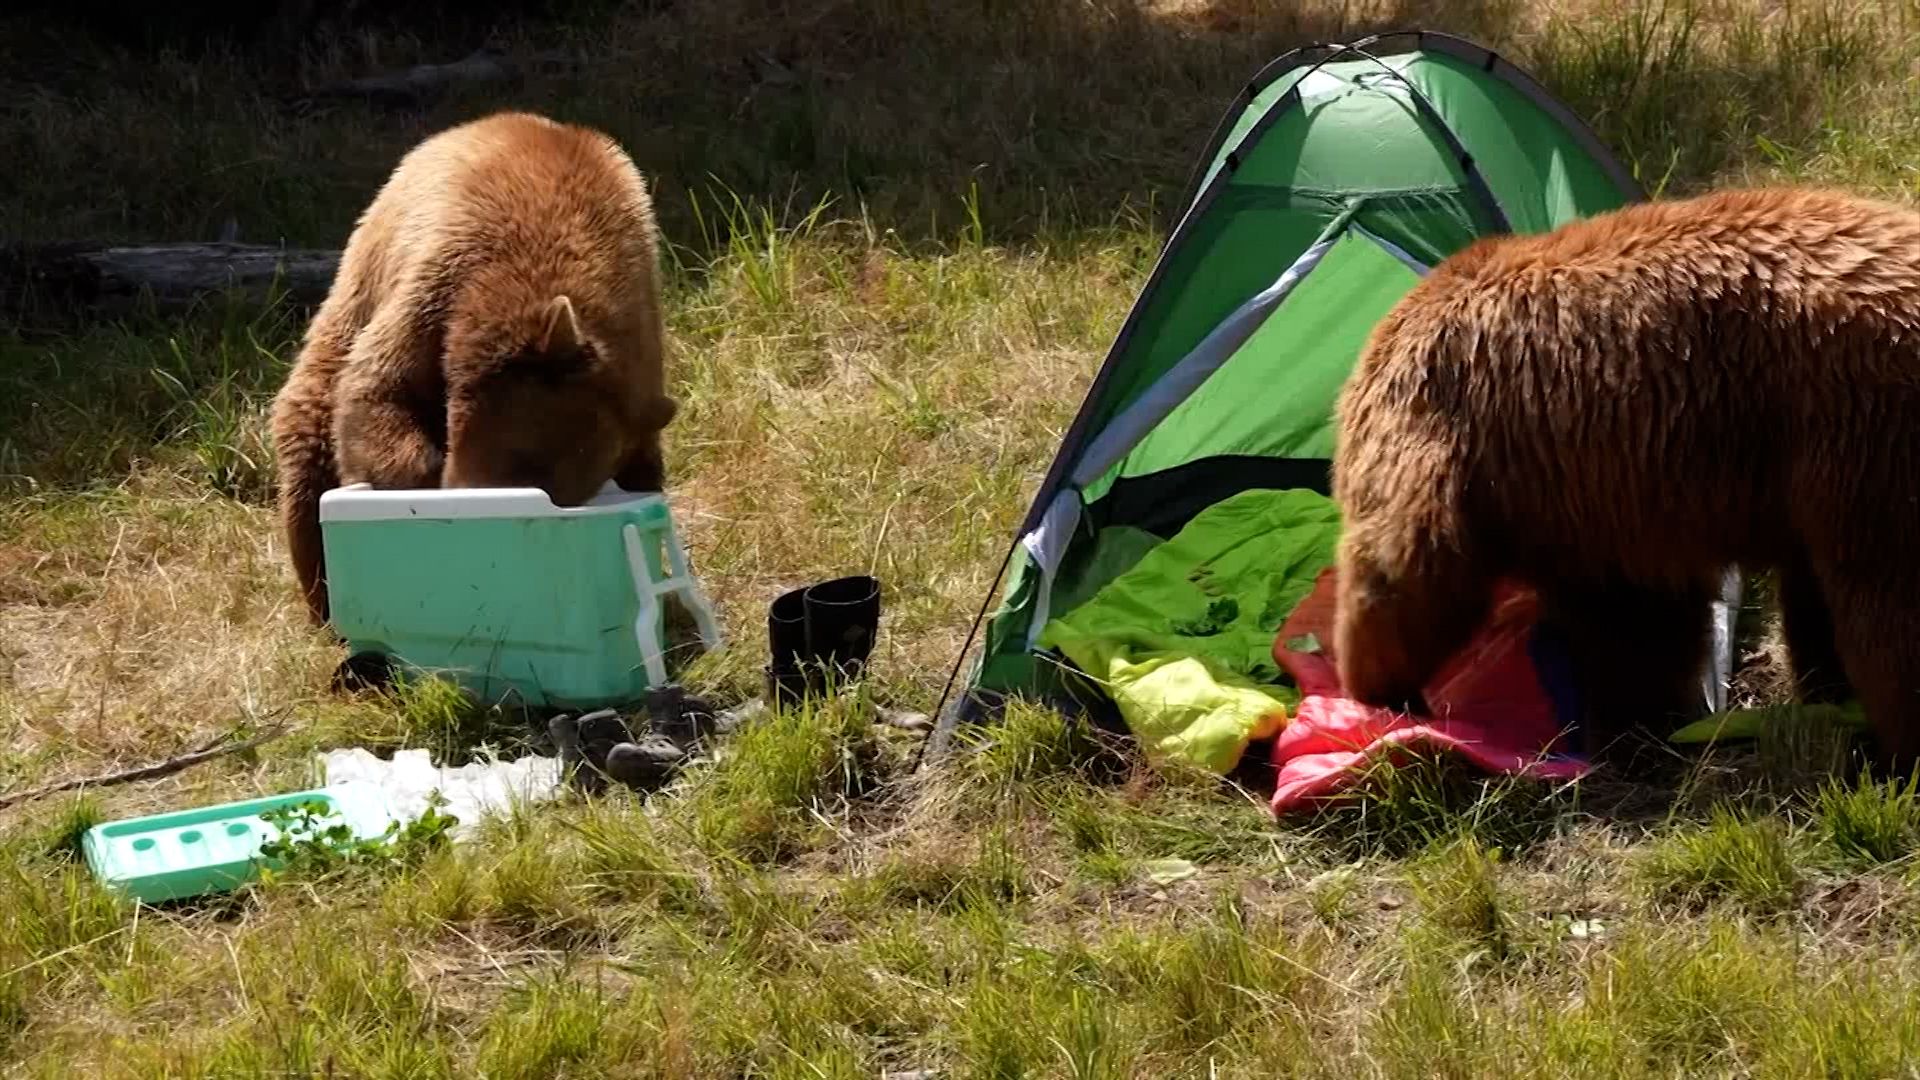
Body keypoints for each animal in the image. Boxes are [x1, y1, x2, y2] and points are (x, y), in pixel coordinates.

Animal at [266, 109, 675, 622]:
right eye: (518, 458)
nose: (463, 491)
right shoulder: (437, 280)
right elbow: (378, 386)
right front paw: (415, 482)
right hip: (342, 319)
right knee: (310, 451)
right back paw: (325, 605)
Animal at [1328, 187, 1920, 764]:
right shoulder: (1599, 503)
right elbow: (1640, 619)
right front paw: (1646, 716)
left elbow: (1402, 570)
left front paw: (1376, 685)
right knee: (1821, 592)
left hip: (1859, 435)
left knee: (1881, 605)